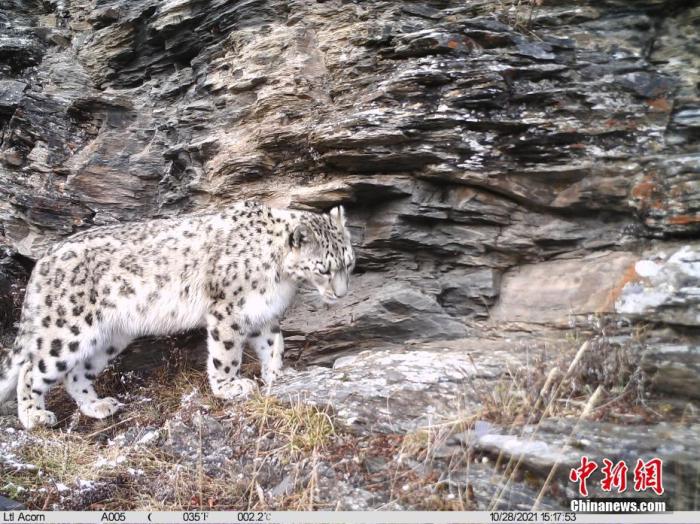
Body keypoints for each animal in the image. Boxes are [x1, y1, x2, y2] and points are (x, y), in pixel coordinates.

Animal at [0, 201, 355, 429]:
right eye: (324, 269)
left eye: (348, 263)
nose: (341, 294)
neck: (281, 279)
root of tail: (43, 261)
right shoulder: (229, 309)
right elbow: (226, 354)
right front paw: (229, 387)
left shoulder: (263, 314)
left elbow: (273, 345)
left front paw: (277, 375)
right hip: (68, 329)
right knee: (32, 369)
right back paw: (34, 416)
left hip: (109, 337)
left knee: (76, 374)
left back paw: (98, 406)